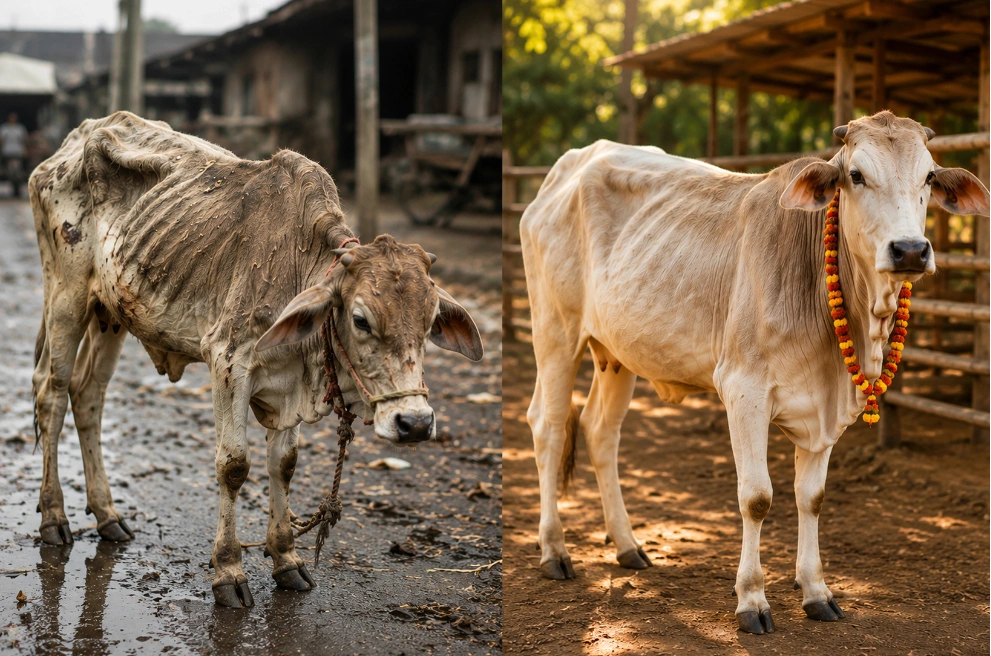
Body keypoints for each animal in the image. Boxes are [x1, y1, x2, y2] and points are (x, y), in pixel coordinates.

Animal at [29, 111, 483, 608]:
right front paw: (228, 571)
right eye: (361, 320)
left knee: (88, 396)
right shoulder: (229, 362)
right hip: (65, 296)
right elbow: (234, 466)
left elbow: (284, 464)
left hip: (109, 312)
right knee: (52, 395)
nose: (415, 423)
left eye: (430, 322)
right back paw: (54, 518)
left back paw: (108, 515)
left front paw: (286, 559)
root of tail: (78, 136)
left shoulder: (288, 384)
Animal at [520, 111, 989, 634]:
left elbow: (812, 497)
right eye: (856, 175)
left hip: (617, 353)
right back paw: (554, 551)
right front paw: (752, 600)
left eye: (928, 176)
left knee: (600, 430)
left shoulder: (826, 408)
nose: (909, 250)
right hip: (556, 330)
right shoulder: (743, 390)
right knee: (548, 427)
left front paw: (817, 591)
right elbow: (757, 497)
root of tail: (568, 167)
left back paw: (627, 546)